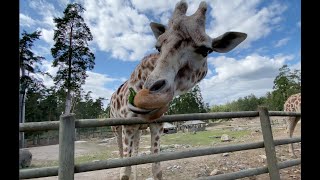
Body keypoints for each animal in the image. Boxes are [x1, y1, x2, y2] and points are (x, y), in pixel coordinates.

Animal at [109, 1, 246, 179]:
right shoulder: (128, 126)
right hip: (116, 128)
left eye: (206, 50)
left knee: (136, 155)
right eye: (158, 47)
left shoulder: (156, 125)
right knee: (122, 156)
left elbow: (156, 169)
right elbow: (124, 171)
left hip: (138, 130)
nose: (152, 97)